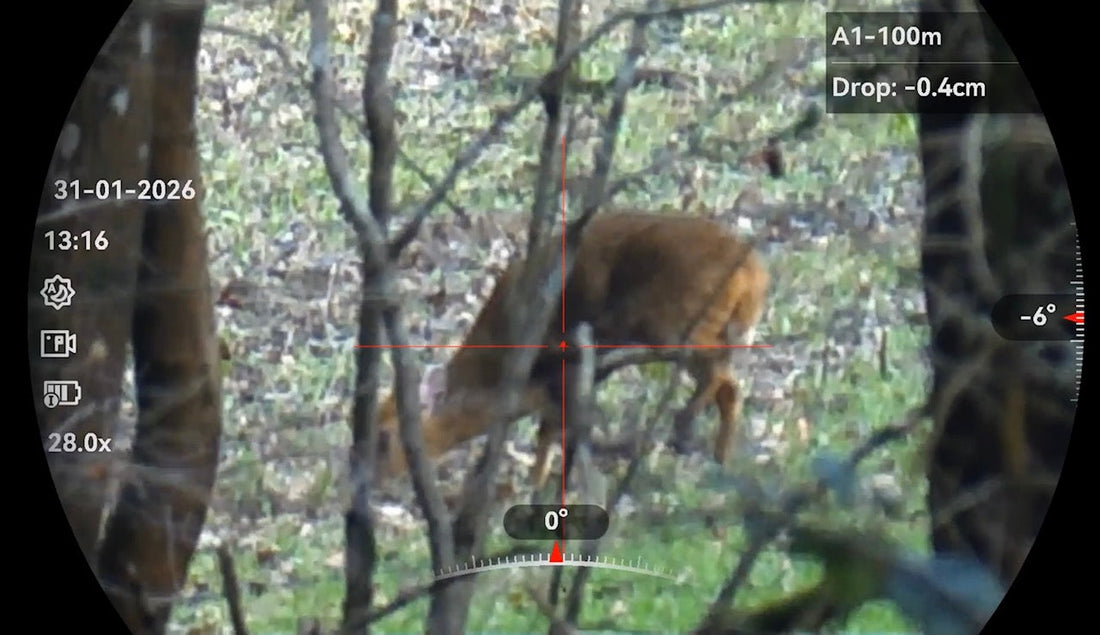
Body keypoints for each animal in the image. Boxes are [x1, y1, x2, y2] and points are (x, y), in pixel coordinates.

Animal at [374, 211, 768, 489]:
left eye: (385, 439)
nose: (375, 482)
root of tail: (753, 272)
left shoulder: (563, 364)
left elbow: (553, 428)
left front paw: (535, 486)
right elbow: (554, 426)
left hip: (676, 323)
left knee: (720, 377)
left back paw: (684, 426)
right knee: (730, 386)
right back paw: (719, 460)